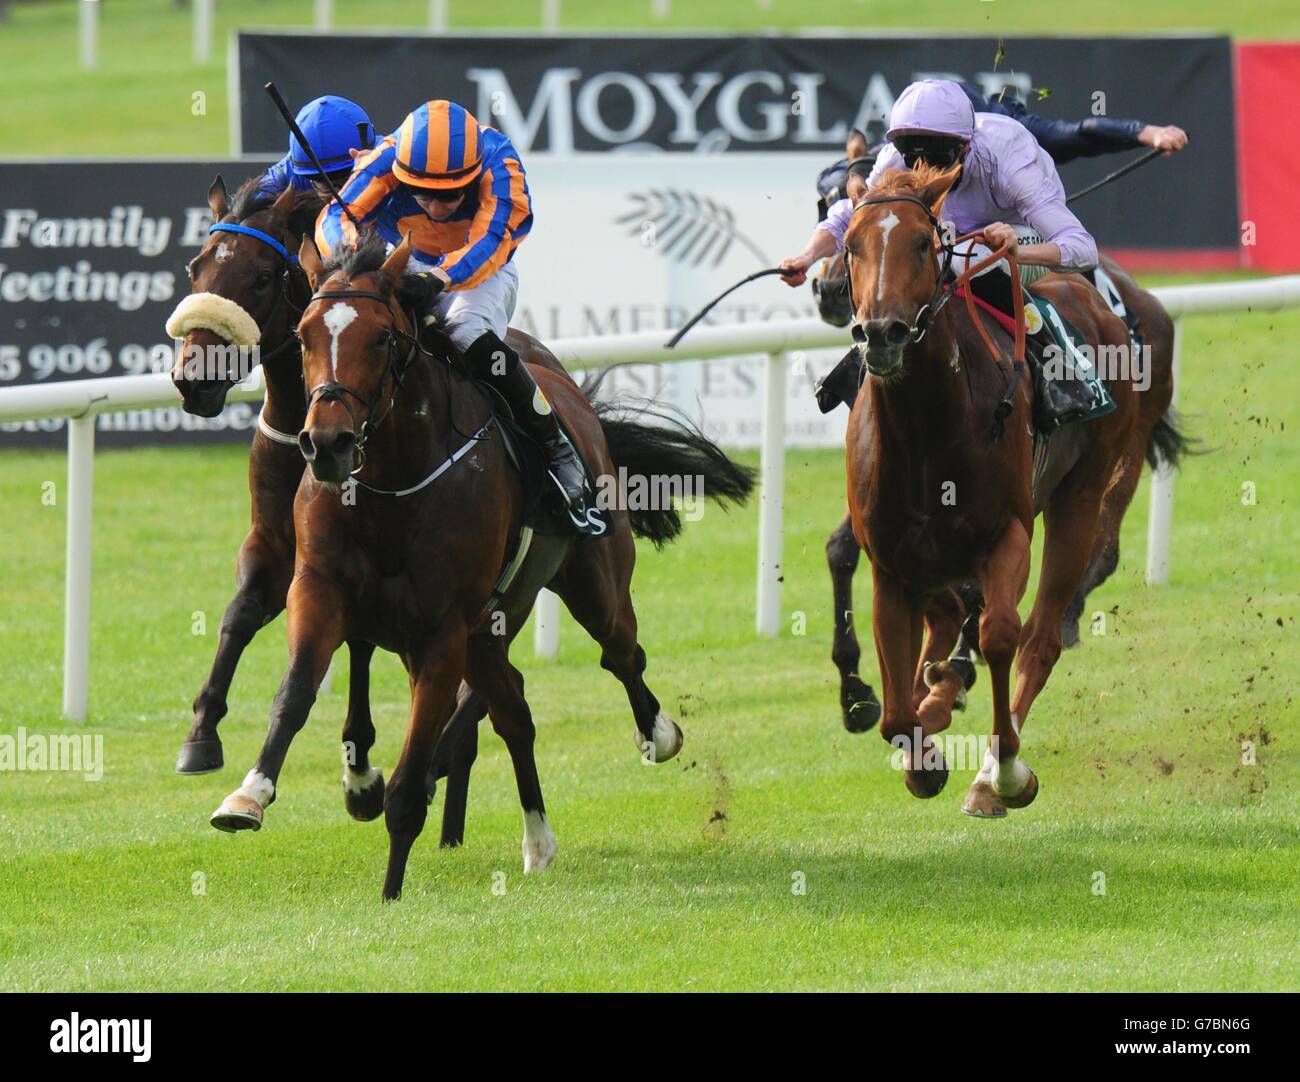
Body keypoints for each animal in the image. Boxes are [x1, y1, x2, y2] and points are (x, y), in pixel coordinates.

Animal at [208, 230, 759, 894]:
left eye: (382, 338)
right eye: (306, 335)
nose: (327, 443)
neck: (394, 480)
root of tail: (575, 396)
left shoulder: (441, 631)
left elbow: (408, 781)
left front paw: (391, 892)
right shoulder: (321, 590)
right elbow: (294, 693)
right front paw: (247, 796)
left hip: (589, 587)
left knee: (623, 654)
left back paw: (658, 734)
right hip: (490, 628)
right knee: (515, 710)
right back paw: (538, 842)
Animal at [847, 165, 1185, 816]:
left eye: (922, 244)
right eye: (851, 245)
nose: (882, 335)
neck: (926, 431)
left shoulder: (1006, 534)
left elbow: (1002, 634)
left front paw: (1002, 774)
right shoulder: (892, 562)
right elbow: (896, 709)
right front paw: (922, 756)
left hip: (1084, 493)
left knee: (1042, 635)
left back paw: (987, 773)